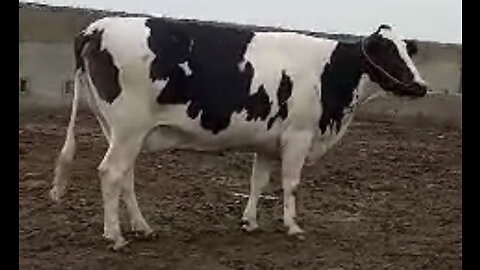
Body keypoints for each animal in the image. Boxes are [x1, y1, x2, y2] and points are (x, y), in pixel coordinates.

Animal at [50, 15, 430, 250]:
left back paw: (142, 228)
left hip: (119, 130)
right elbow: (291, 184)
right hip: (129, 127)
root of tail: (97, 27)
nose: (422, 86)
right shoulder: (299, 135)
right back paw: (115, 237)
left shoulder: (267, 141)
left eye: (406, 51)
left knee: (124, 176)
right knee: (111, 173)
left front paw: (250, 222)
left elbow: (258, 181)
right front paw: (292, 227)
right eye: (389, 53)